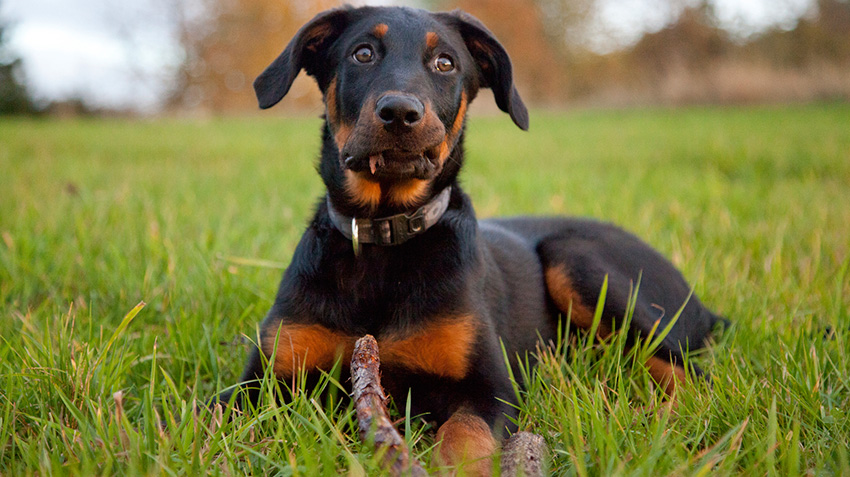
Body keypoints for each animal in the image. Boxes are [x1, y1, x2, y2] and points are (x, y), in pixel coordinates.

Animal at [219, 5, 724, 474]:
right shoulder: (261, 378)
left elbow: (464, 433)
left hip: (577, 260)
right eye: (362, 54)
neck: (384, 238)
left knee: (691, 373)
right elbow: (212, 421)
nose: (400, 113)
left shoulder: (490, 385)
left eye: (445, 63)